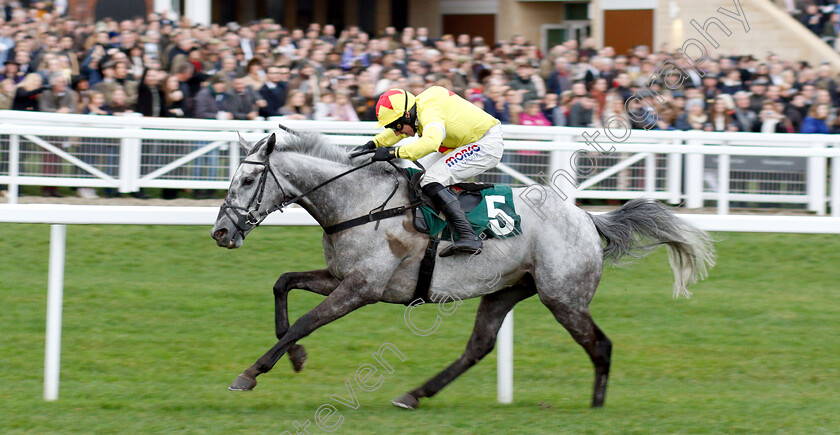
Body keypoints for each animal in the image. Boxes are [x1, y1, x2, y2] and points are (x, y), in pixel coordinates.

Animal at [212, 131, 716, 410]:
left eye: (248, 179)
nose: (221, 231)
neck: (358, 204)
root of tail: (588, 219)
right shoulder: (339, 277)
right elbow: (282, 285)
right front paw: (293, 357)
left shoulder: (361, 288)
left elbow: (305, 321)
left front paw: (251, 372)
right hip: (507, 289)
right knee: (479, 346)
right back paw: (414, 394)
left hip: (563, 297)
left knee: (600, 344)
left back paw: (596, 406)